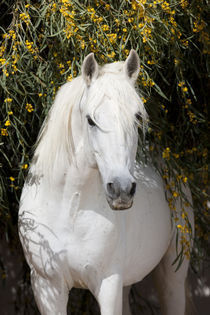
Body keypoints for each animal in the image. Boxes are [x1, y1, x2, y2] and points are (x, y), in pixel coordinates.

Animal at [18, 50, 194, 314]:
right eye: (91, 120)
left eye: (137, 118)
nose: (122, 189)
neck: (69, 209)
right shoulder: (47, 287)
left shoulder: (108, 283)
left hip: (172, 272)